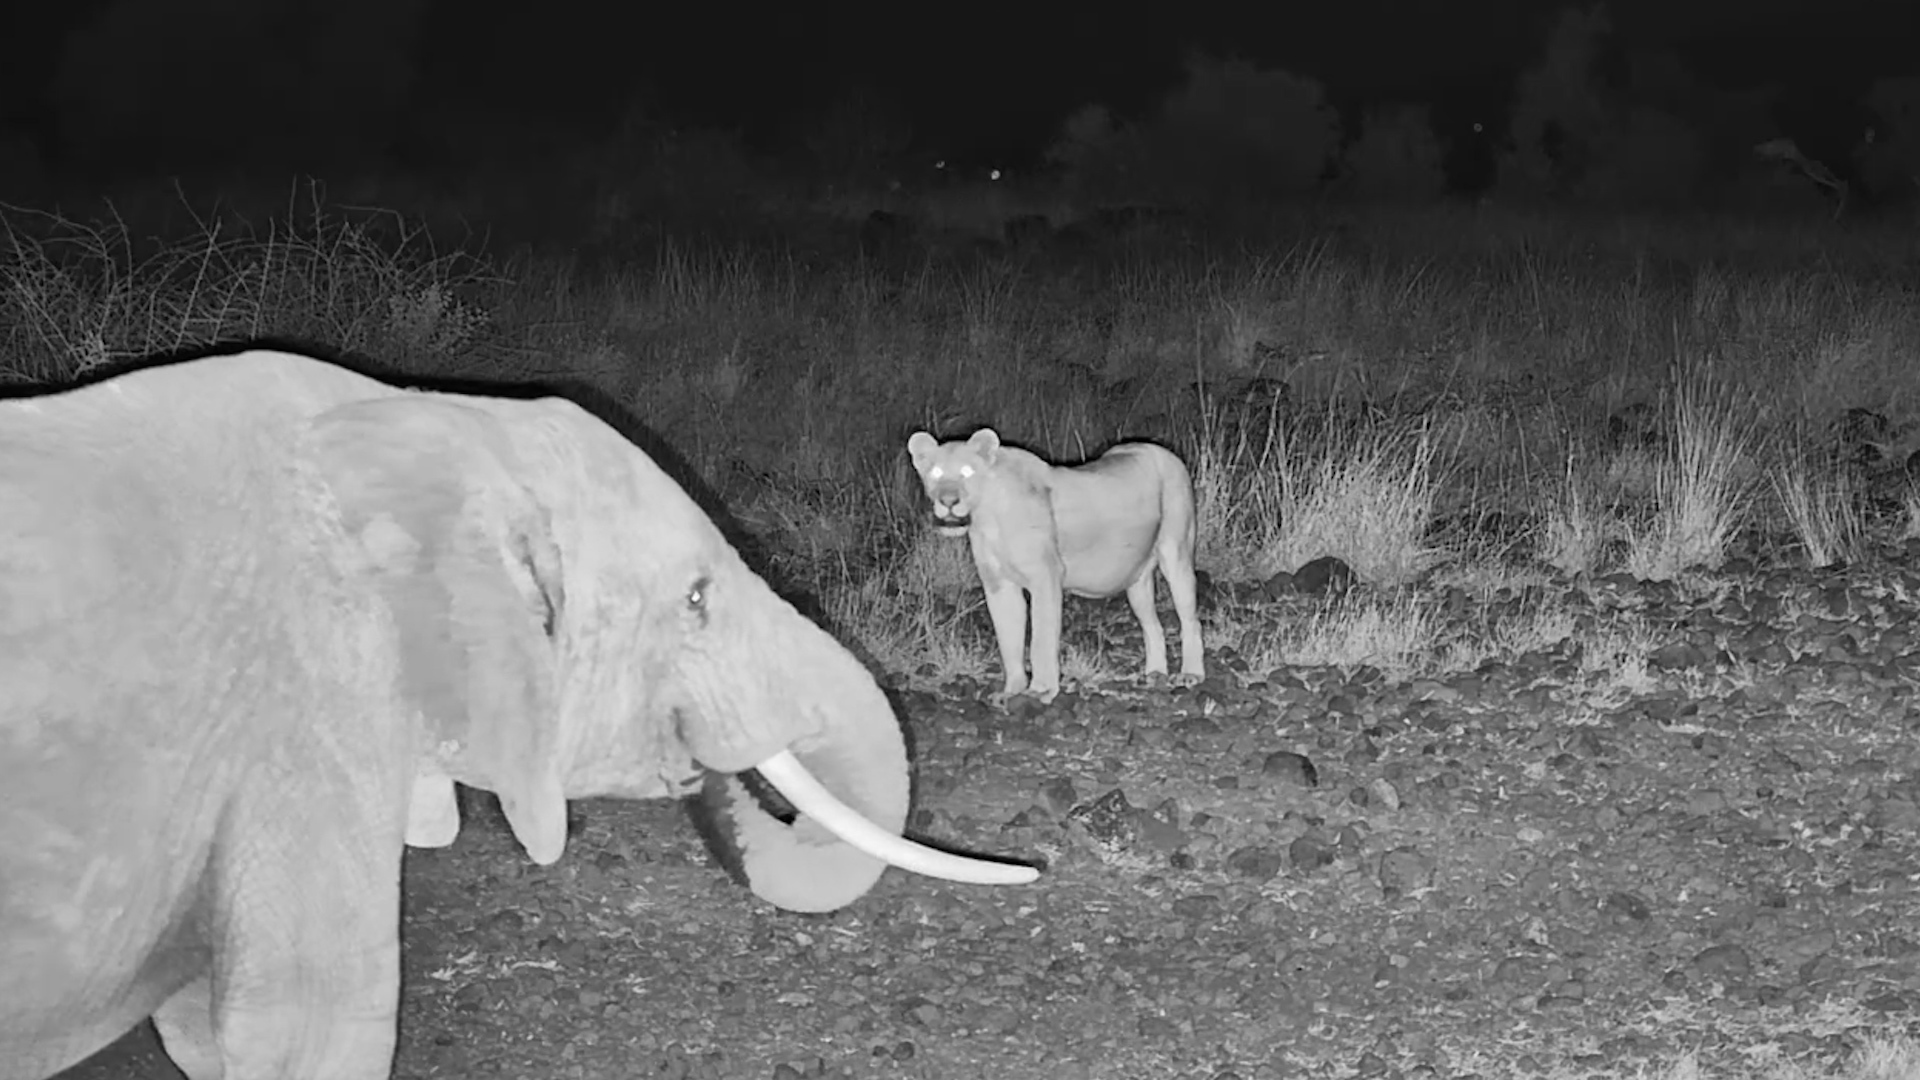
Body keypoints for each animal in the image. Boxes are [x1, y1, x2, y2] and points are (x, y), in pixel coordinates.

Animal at [906, 427, 1205, 705]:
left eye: (967, 472)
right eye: (935, 473)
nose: (948, 501)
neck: (986, 517)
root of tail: (1166, 452)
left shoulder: (1045, 577)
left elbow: (1041, 638)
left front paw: (1040, 691)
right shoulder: (999, 585)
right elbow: (1008, 638)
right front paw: (1012, 690)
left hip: (1176, 550)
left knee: (1190, 619)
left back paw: (1191, 674)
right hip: (1137, 579)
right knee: (1153, 624)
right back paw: (1156, 673)